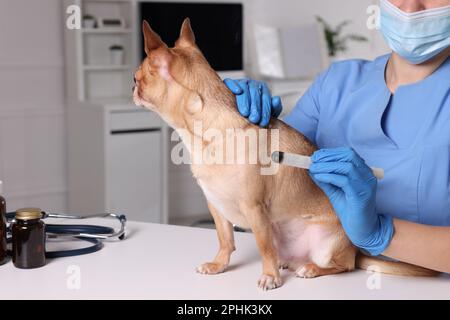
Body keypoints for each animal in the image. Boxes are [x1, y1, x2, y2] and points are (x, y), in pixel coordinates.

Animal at [134, 20, 436, 290]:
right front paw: (219, 264)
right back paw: (287, 262)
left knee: (342, 266)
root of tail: (356, 250)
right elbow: (225, 239)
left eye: (137, 78)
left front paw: (269, 277)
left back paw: (310, 268)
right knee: (287, 254)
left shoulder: (256, 210)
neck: (208, 134)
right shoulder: (216, 206)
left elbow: (263, 246)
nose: (132, 86)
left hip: (328, 245)